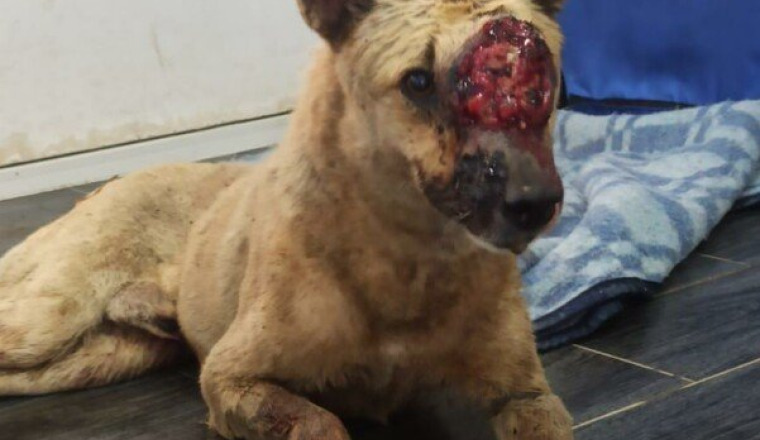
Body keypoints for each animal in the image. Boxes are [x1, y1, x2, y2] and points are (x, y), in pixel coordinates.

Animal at [0, 1, 572, 438]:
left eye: (542, 83)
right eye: (417, 82)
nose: (537, 203)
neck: (406, 259)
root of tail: (109, 184)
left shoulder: (528, 392)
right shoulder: (232, 378)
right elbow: (319, 422)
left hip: (101, 357)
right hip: (47, 320)